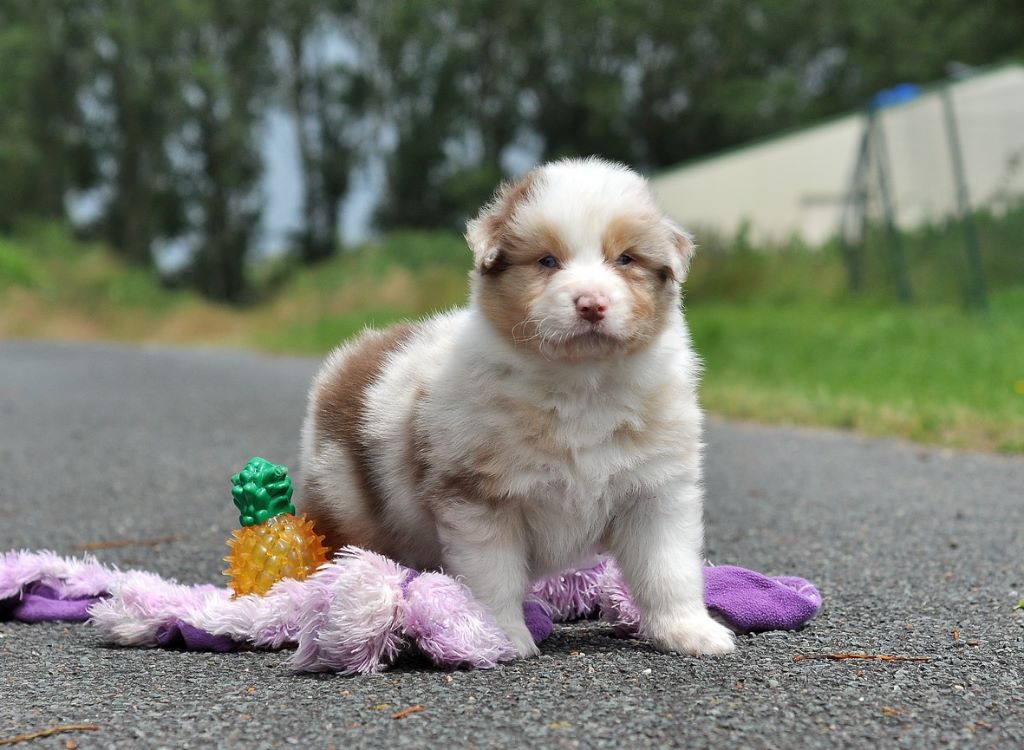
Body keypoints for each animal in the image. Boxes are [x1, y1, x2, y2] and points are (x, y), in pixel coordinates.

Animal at [298, 157, 735, 658]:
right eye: (547, 261)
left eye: (625, 259)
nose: (591, 304)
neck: (581, 385)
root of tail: (354, 352)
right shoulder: (480, 498)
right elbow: (495, 577)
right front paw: (500, 636)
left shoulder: (656, 491)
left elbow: (668, 570)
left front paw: (691, 632)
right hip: (343, 499)